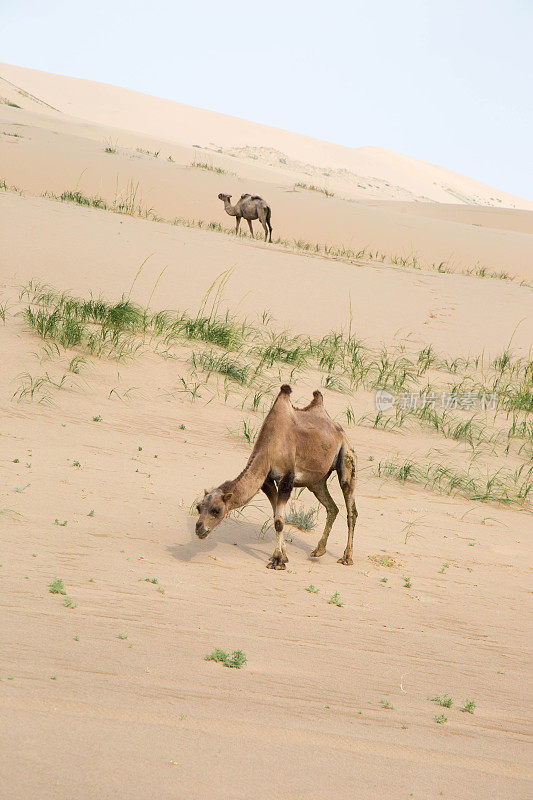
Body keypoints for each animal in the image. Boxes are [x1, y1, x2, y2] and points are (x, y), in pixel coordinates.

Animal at [194, 382, 358, 564]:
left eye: (216, 510)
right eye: (198, 507)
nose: (199, 529)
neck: (267, 448)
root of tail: (338, 428)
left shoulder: (287, 478)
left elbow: (279, 521)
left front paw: (278, 561)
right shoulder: (267, 480)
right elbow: (277, 517)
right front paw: (283, 556)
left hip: (346, 455)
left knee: (351, 507)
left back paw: (347, 557)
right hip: (316, 482)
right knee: (332, 507)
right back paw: (319, 550)